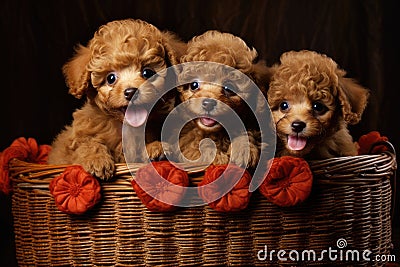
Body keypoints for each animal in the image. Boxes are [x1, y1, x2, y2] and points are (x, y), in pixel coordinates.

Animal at [47, 18, 185, 180]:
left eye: (147, 73)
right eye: (111, 78)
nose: (131, 92)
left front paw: (156, 148)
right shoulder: (77, 140)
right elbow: (87, 144)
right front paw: (96, 160)